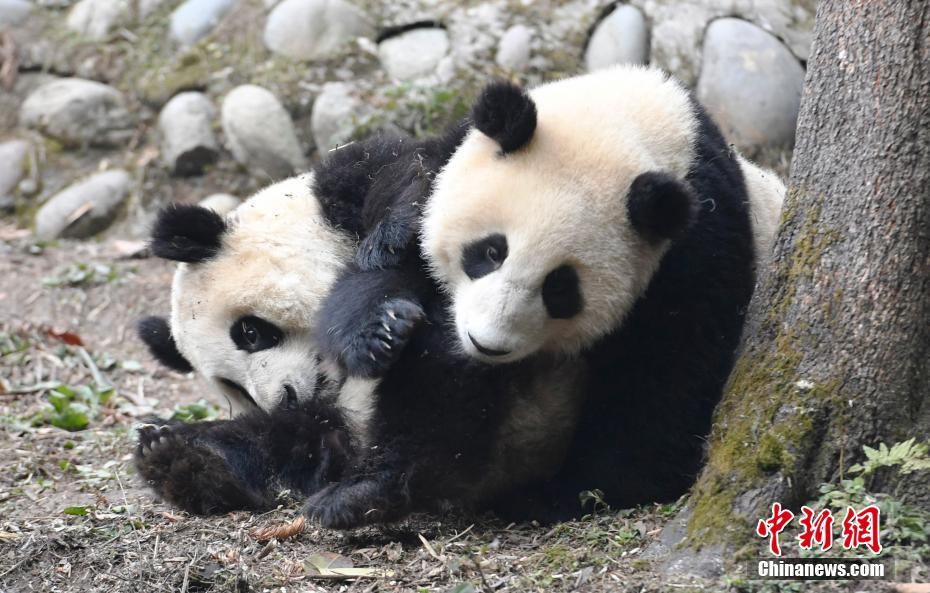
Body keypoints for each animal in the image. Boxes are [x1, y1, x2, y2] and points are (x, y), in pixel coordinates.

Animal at [133, 131, 584, 524]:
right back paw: (175, 457)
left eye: (249, 332)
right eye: (234, 388)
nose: (285, 399)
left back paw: (372, 489)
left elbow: (411, 186)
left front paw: (376, 323)